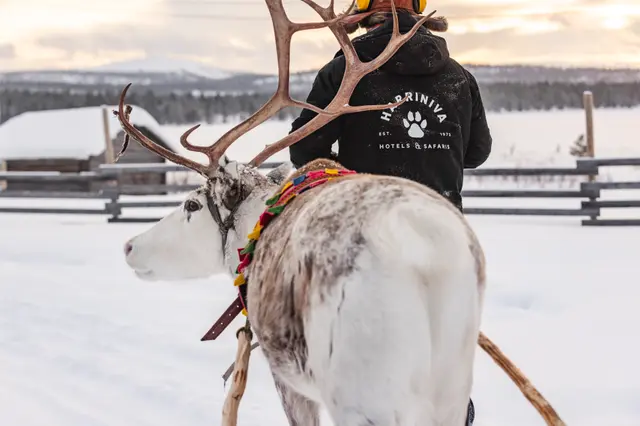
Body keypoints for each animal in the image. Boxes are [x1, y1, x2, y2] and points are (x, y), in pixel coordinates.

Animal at [116, 1, 487, 425]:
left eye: (192, 204)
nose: (129, 246)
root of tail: (431, 256)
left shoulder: (286, 377)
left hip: (364, 387)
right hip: (450, 387)